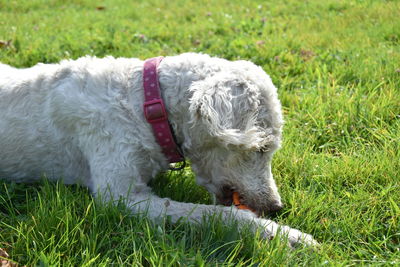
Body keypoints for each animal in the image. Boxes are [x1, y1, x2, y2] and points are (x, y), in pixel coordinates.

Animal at [0, 53, 318, 248]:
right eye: (262, 148)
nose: (275, 208)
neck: (146, 103)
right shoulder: (120, 197)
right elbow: (219, 214)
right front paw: (284, 235)